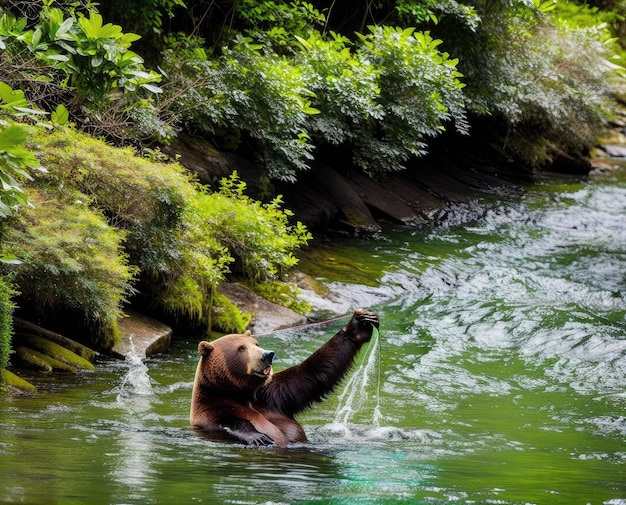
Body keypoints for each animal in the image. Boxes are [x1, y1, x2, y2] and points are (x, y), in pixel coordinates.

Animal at [188, 308, 378, 444]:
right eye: (241, 348)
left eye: (256, 343)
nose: (267, 355)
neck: (241, 394)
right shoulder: (211, 413)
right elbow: (230, 423)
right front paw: (259, 437)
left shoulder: (273, 396)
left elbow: (314, 372)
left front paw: (359, 324)